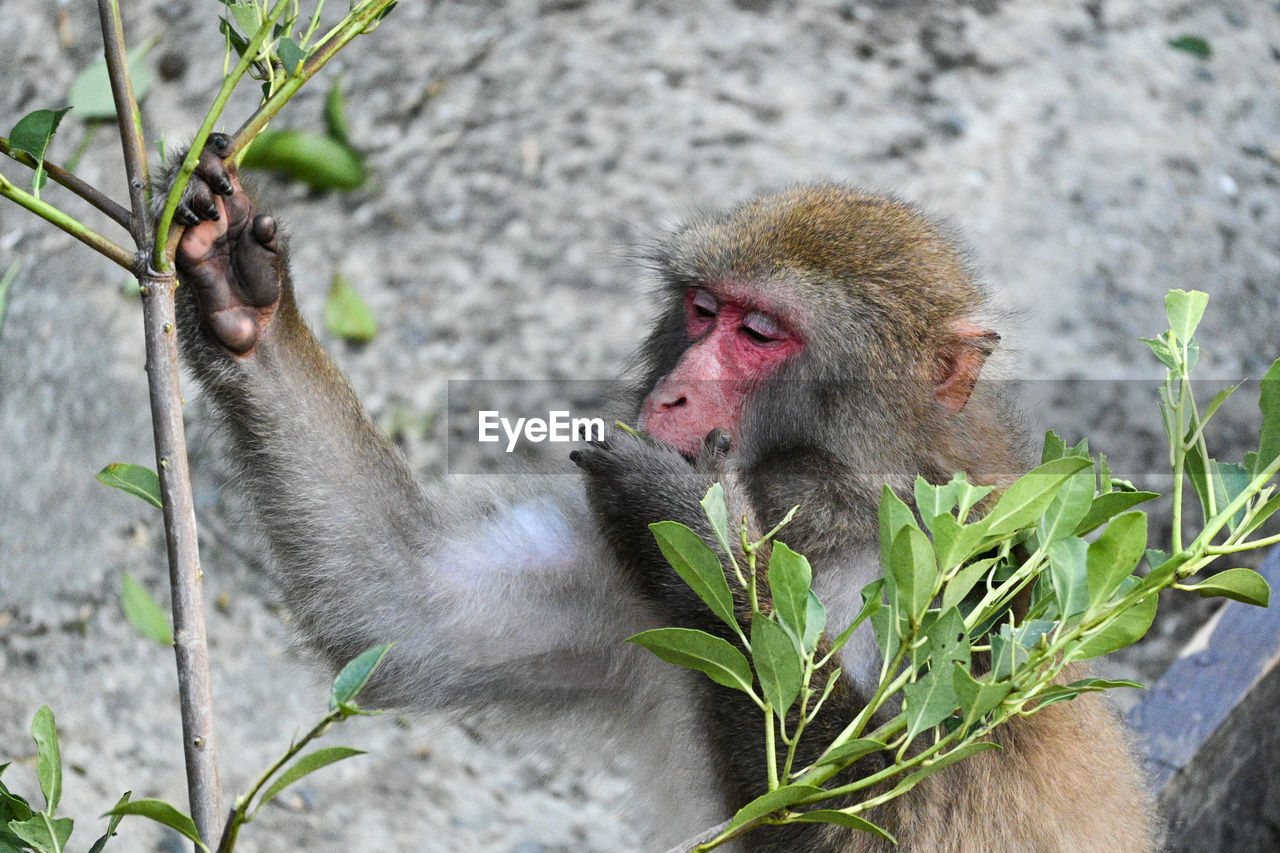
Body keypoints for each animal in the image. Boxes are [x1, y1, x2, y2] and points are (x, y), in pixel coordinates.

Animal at [165, 134, 1157, 850]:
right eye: (702, 310)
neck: (830, 519)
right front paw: (243, 302)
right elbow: (404, 607)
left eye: (760, 332)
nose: (672, 393)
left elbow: (882, 818)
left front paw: (713, 540)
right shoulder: (626, 565)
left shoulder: (986, 596)